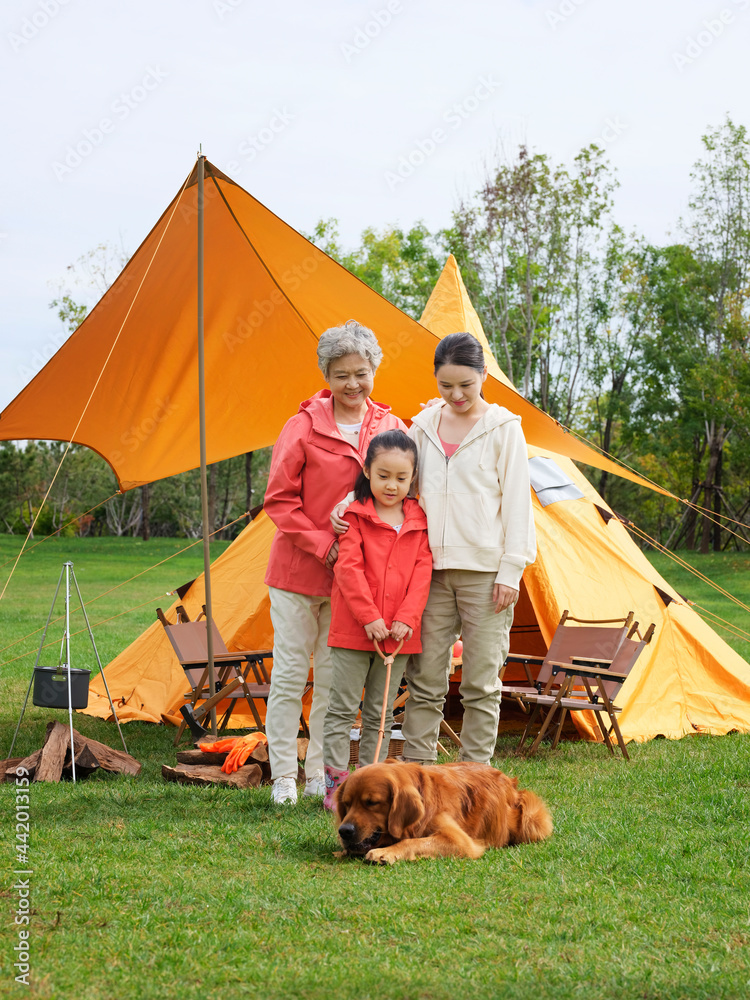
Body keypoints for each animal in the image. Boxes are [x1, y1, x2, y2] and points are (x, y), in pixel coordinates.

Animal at [334, 760, 552, 864]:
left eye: (372, 803)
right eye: (346, 803)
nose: (344, 831)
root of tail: (512, 784)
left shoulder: (459, 839)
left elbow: (412, 841)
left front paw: (385, 852)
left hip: (531, 819)